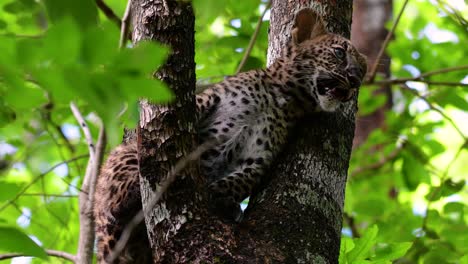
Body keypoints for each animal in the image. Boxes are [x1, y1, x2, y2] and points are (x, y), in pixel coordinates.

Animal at [93, 7, 368, 262]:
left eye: (363, 72)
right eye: (339, 52)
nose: (355, 80)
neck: (282, 98)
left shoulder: (259, 156)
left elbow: (240, 180)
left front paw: (219, 197)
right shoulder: (204, 102)